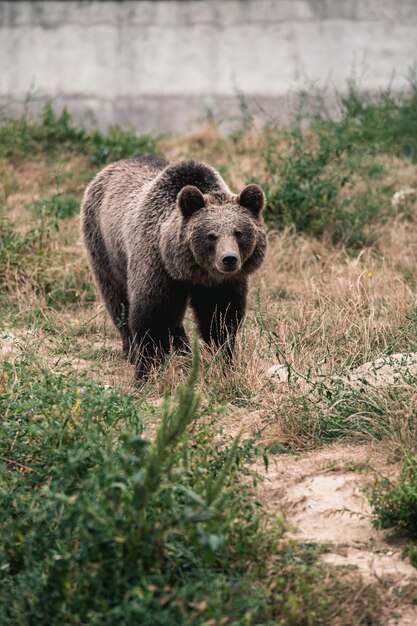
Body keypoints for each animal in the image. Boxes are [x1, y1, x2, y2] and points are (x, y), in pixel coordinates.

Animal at [79, 156, 264, 380]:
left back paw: (182, 348)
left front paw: (224, 363)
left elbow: (220, 319)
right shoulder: (157, 268)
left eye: (239, 233)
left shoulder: (222, 285)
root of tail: (110, 167)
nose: (229, 259)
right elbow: (152, 316)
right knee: (117, 299)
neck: (190, 271)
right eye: (211, 235)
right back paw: (131, 349)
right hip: (104, 248)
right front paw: (145, 372)